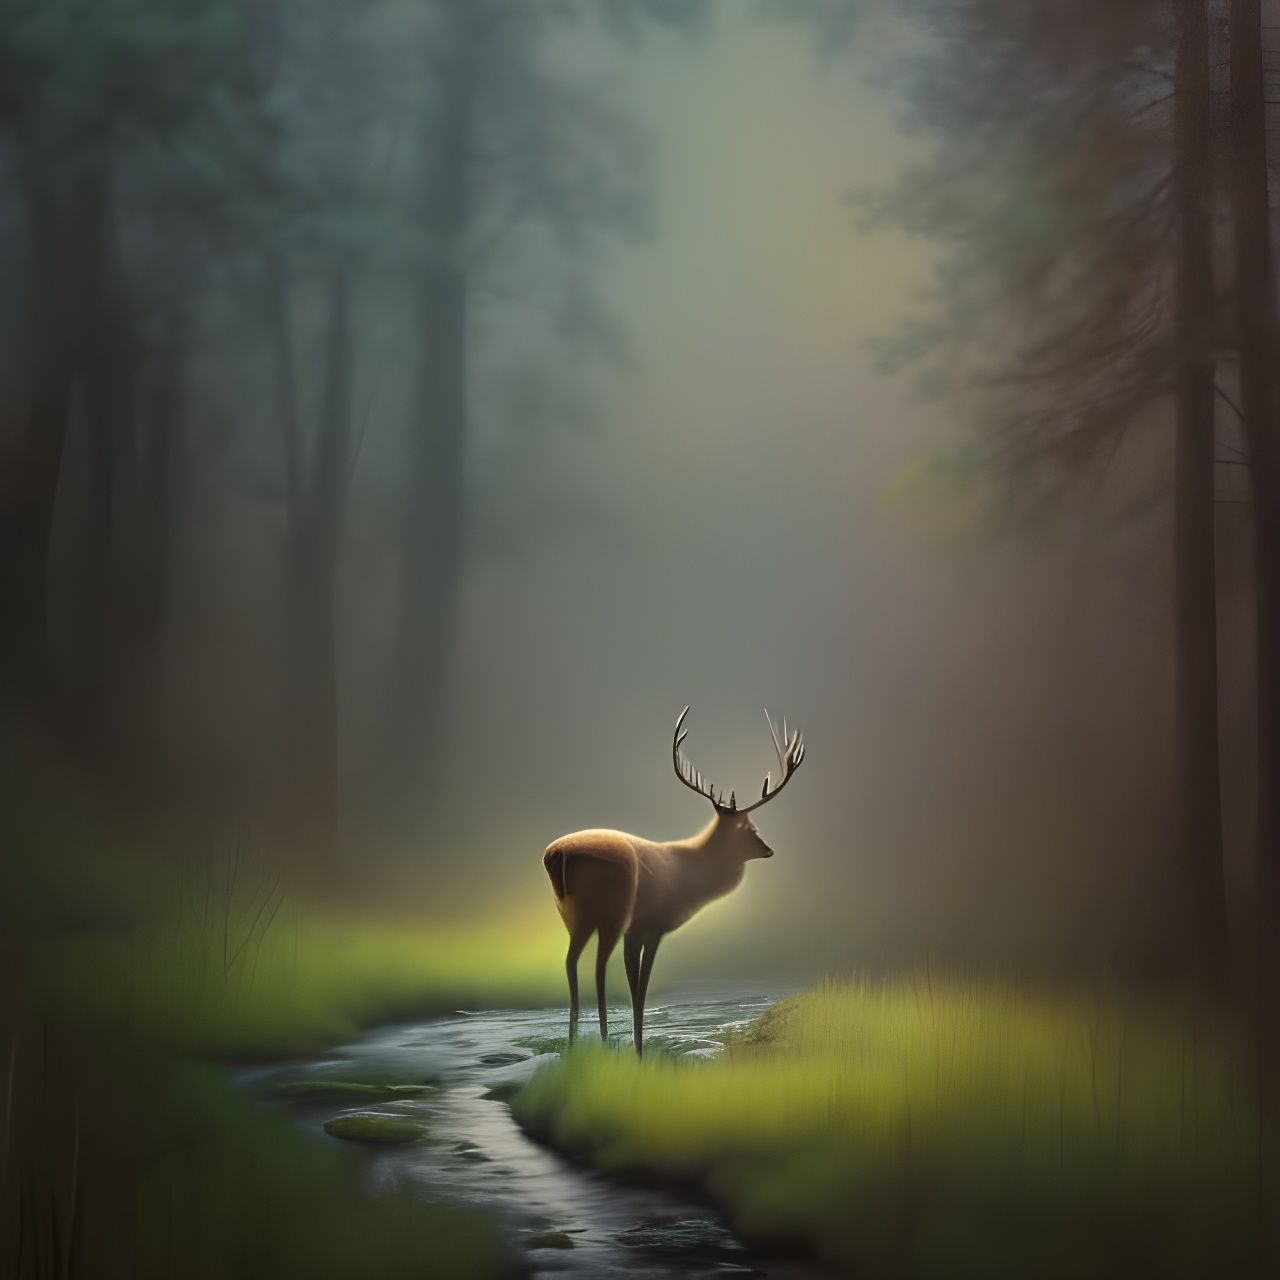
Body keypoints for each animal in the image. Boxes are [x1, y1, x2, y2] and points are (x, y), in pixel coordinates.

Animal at [542, 706, 805, 1056]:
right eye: (750, 828)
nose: (769, 849)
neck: (690, 879)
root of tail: (556, 854)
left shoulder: (639, 930)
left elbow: (633, 983)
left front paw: (634, 1049)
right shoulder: (650, 925)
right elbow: (639, 988)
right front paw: (638, 1052)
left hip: (573, 914)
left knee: (572, 961)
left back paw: (575, 1046)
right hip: (610, 910)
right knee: (596, 965)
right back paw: (595, 1044)